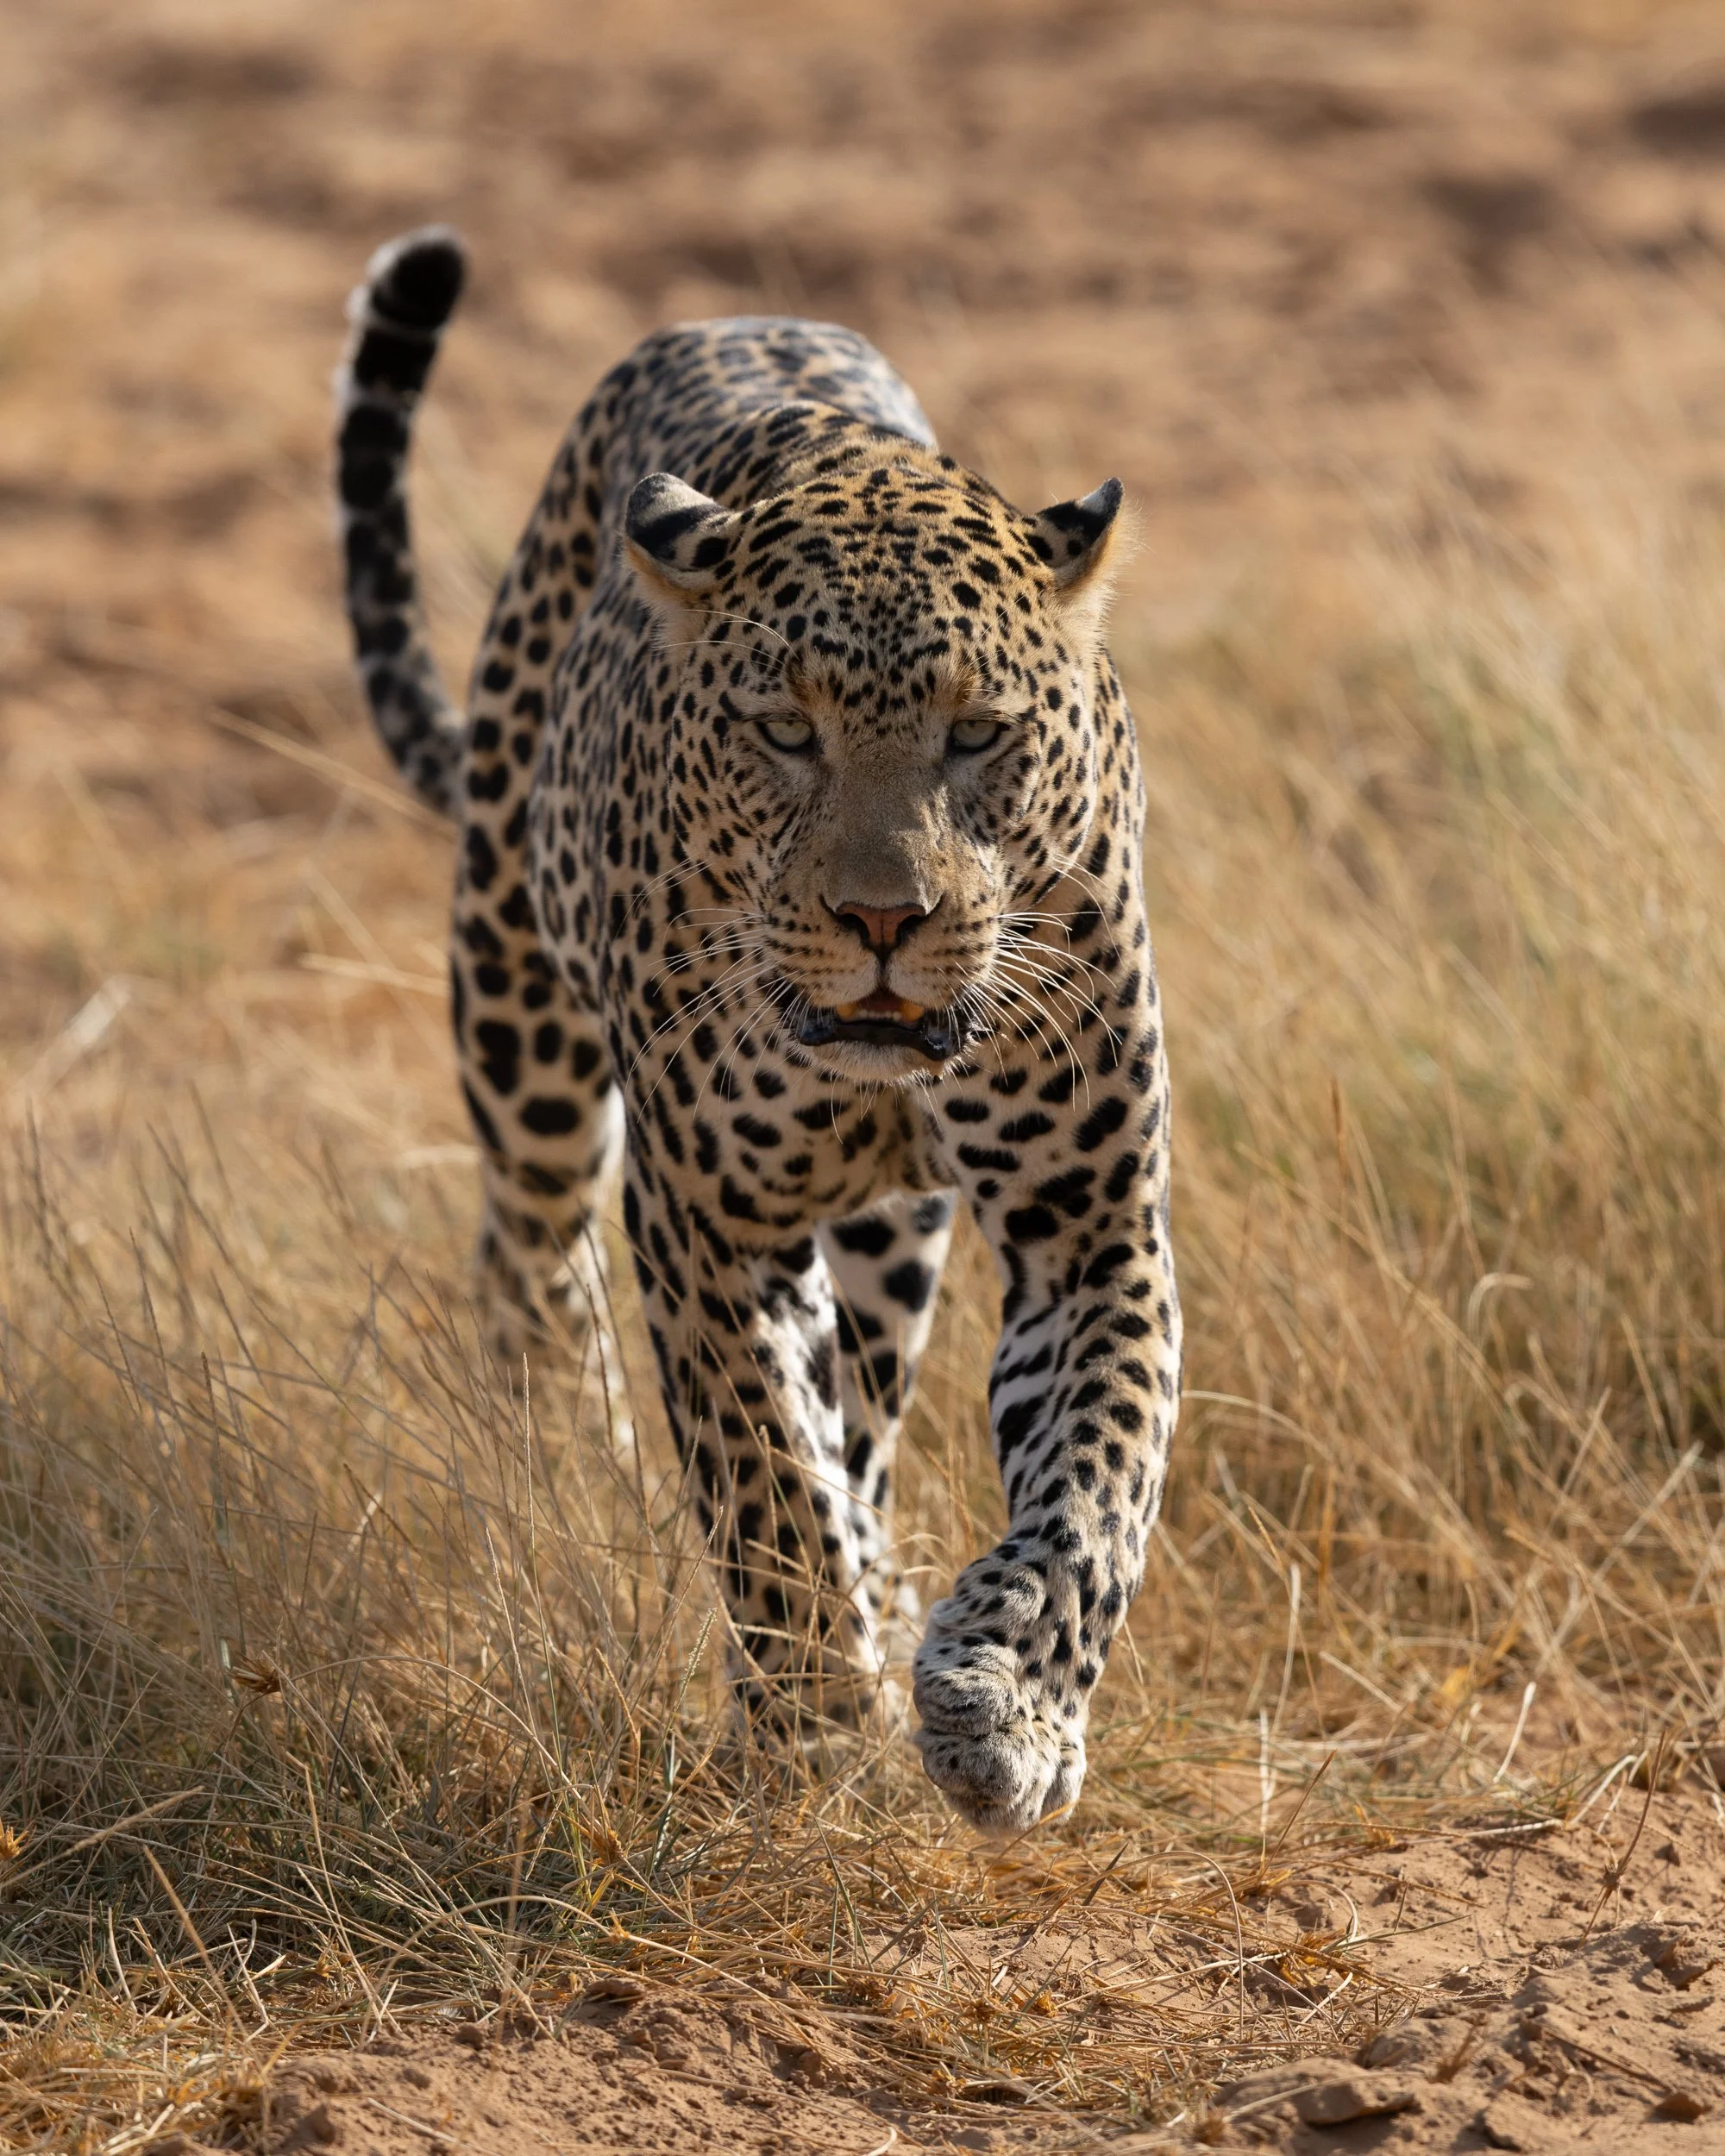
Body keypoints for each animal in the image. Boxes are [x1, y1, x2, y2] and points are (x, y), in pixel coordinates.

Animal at [335, 227, 1182, 1832]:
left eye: (980, 735)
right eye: (784, 731)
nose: (883, 921)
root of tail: (731, 314)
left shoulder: (1090, 1221)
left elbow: (1096, 1481)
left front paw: (1010, 1712)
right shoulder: (702, 1222)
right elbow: (761, 1478)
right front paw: (809, 1725)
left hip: (895, 1235)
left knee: (864, 1402)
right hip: (523, 1024)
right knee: (533, 1266)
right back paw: (569, 1469)